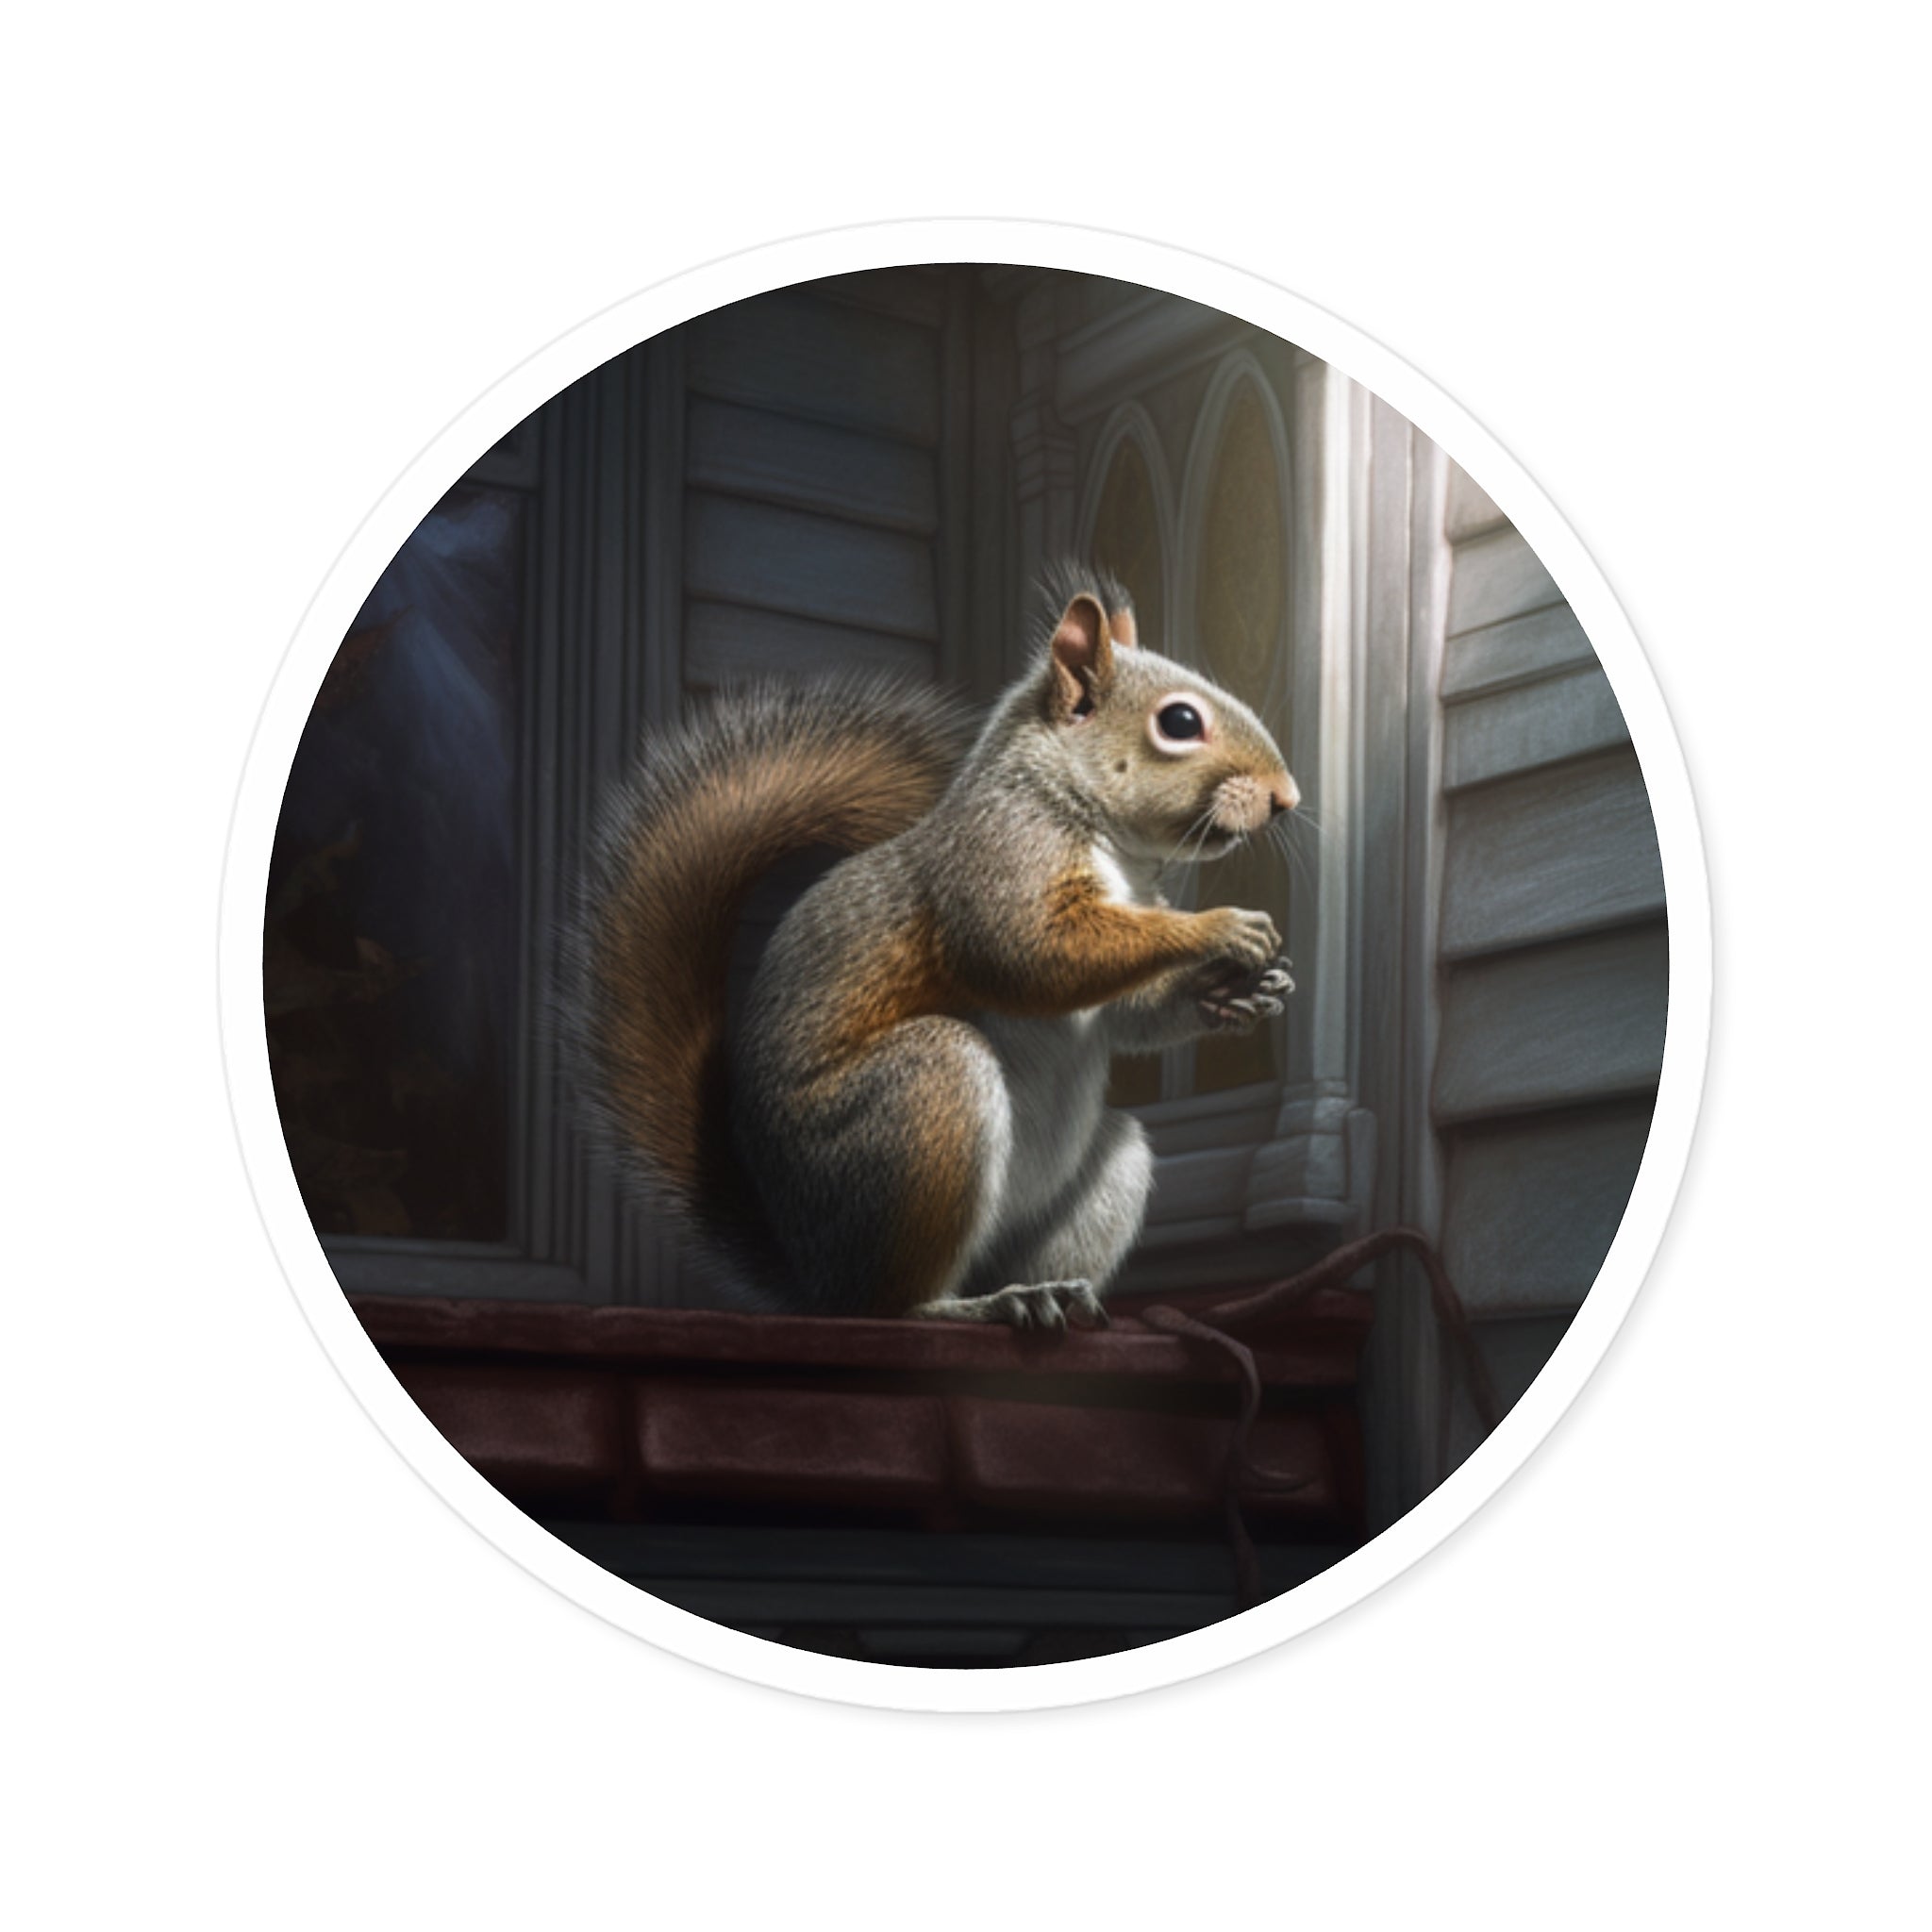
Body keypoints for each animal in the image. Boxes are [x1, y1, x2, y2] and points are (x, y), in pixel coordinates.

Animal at [570, 566, 1300, 1330]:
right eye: (1180, 722)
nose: (1288, 797)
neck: (1112, 845)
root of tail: (813, 1278)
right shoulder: (998, 856)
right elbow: (1030, 953)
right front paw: (1222, 927)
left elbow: (1130, 1012)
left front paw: (1243, 992)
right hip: (922, 1103)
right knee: (889, 1303)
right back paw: (977, 1307)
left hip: (1097, 1177)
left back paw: (1056, 1295)